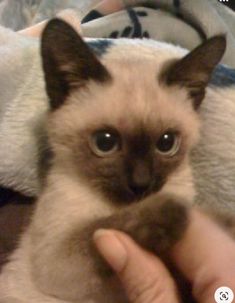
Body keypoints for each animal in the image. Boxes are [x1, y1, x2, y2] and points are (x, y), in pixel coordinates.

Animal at [0, 19, 231, 303]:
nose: (141, 184)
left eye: (166, 143)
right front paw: (173, 211)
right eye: (105, 142)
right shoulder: (58, 263)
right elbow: (96, 231)